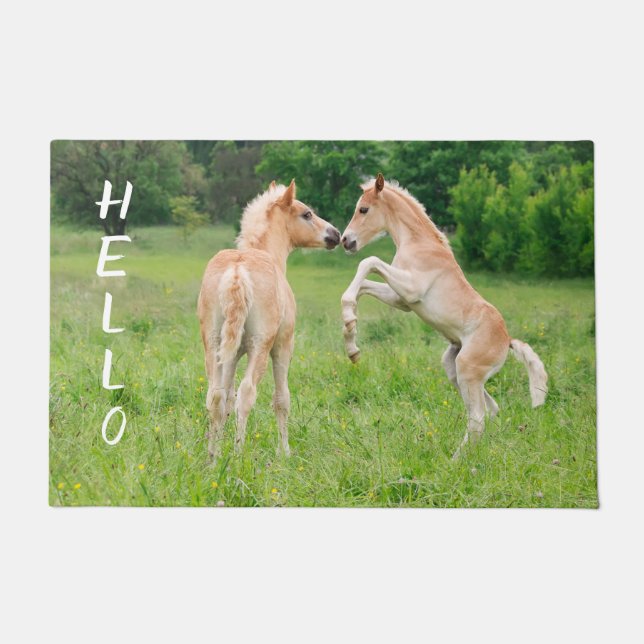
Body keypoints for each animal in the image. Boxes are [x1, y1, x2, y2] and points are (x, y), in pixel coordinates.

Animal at [198, 180, 341, 462]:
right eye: (307, 214)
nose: (335, 234)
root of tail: (237, 271)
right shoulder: (283, 346)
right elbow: (281, 399)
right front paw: (285, 451)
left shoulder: (232, 354)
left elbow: (226, 397)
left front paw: (218, 445)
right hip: (260, 346)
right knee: (247, 393)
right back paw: (238, 454)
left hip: (214, 344)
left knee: (215, 396)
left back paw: (212, 458)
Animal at [339, 173, 548, 458]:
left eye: (363, 209)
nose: (345, 241)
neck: (418, 243)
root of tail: (507, 341)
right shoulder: (402, 299)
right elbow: (363, 286)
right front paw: (351, 338)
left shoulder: (411, 289)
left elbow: (368, 262)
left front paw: (350, 326)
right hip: (454, 367)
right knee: (490, 410)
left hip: (468, 370)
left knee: (478, 418)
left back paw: (455, 461)